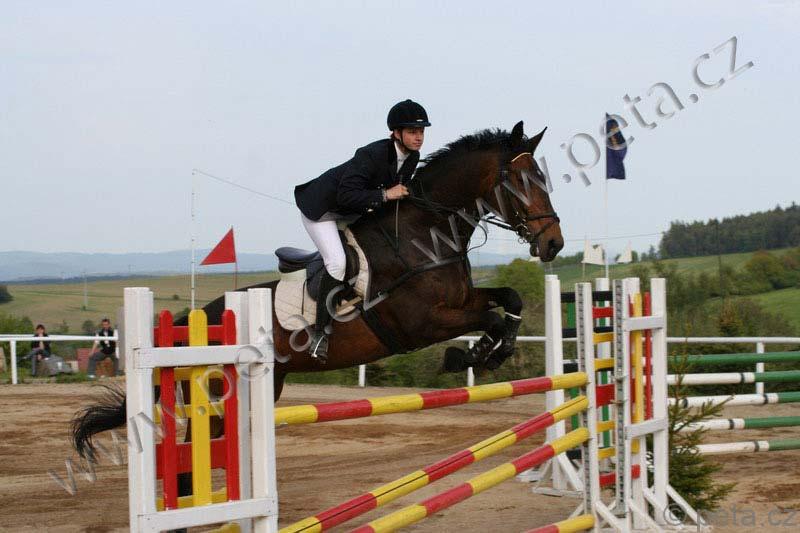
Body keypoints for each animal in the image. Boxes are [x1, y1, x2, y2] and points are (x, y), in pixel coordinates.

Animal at [71, 120, 563, 474]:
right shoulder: (422, 322)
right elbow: (489, 320)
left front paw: (494, 352)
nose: (554, 244)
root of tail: (196, 317)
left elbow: (510, 300)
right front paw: (469, 356)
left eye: (542, 177)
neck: (428, 233)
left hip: (265, 385)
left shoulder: (462, 301)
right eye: (522, 181)